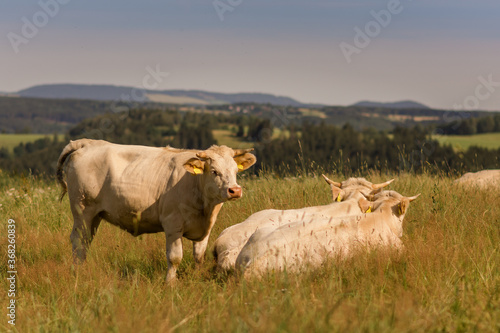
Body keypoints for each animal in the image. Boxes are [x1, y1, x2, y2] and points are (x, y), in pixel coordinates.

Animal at [56, 139, 256, 282]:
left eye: (235, 171)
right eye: (214, 171)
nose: (234, 190)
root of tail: (88, 142)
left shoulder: (205, 229)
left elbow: (199, 256)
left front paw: (198, 278)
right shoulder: (173, 224)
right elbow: (175, 257)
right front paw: (170, 283)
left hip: (95, 215)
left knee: (86, 240)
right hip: (82, 209)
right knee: (78, 240)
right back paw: (78, 272)